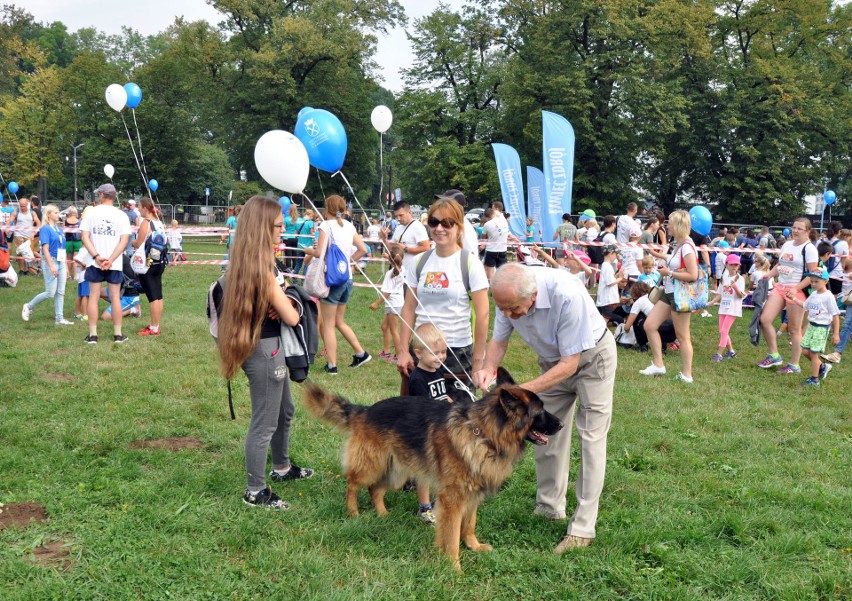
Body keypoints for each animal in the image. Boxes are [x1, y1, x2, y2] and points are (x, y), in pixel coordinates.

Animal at [302, 366, 564, 568]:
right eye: (540, 411)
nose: (561, 424)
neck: (484, 435)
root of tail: (365, 410)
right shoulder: (452, 500)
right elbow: (451, 536)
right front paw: (453, 567)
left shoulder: (472, 496)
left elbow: (469, 525)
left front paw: (473, 546)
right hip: (372, 465)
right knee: (353, 483)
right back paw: (353, 512)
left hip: (397, 471)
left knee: (375, 489)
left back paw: (383, 514)